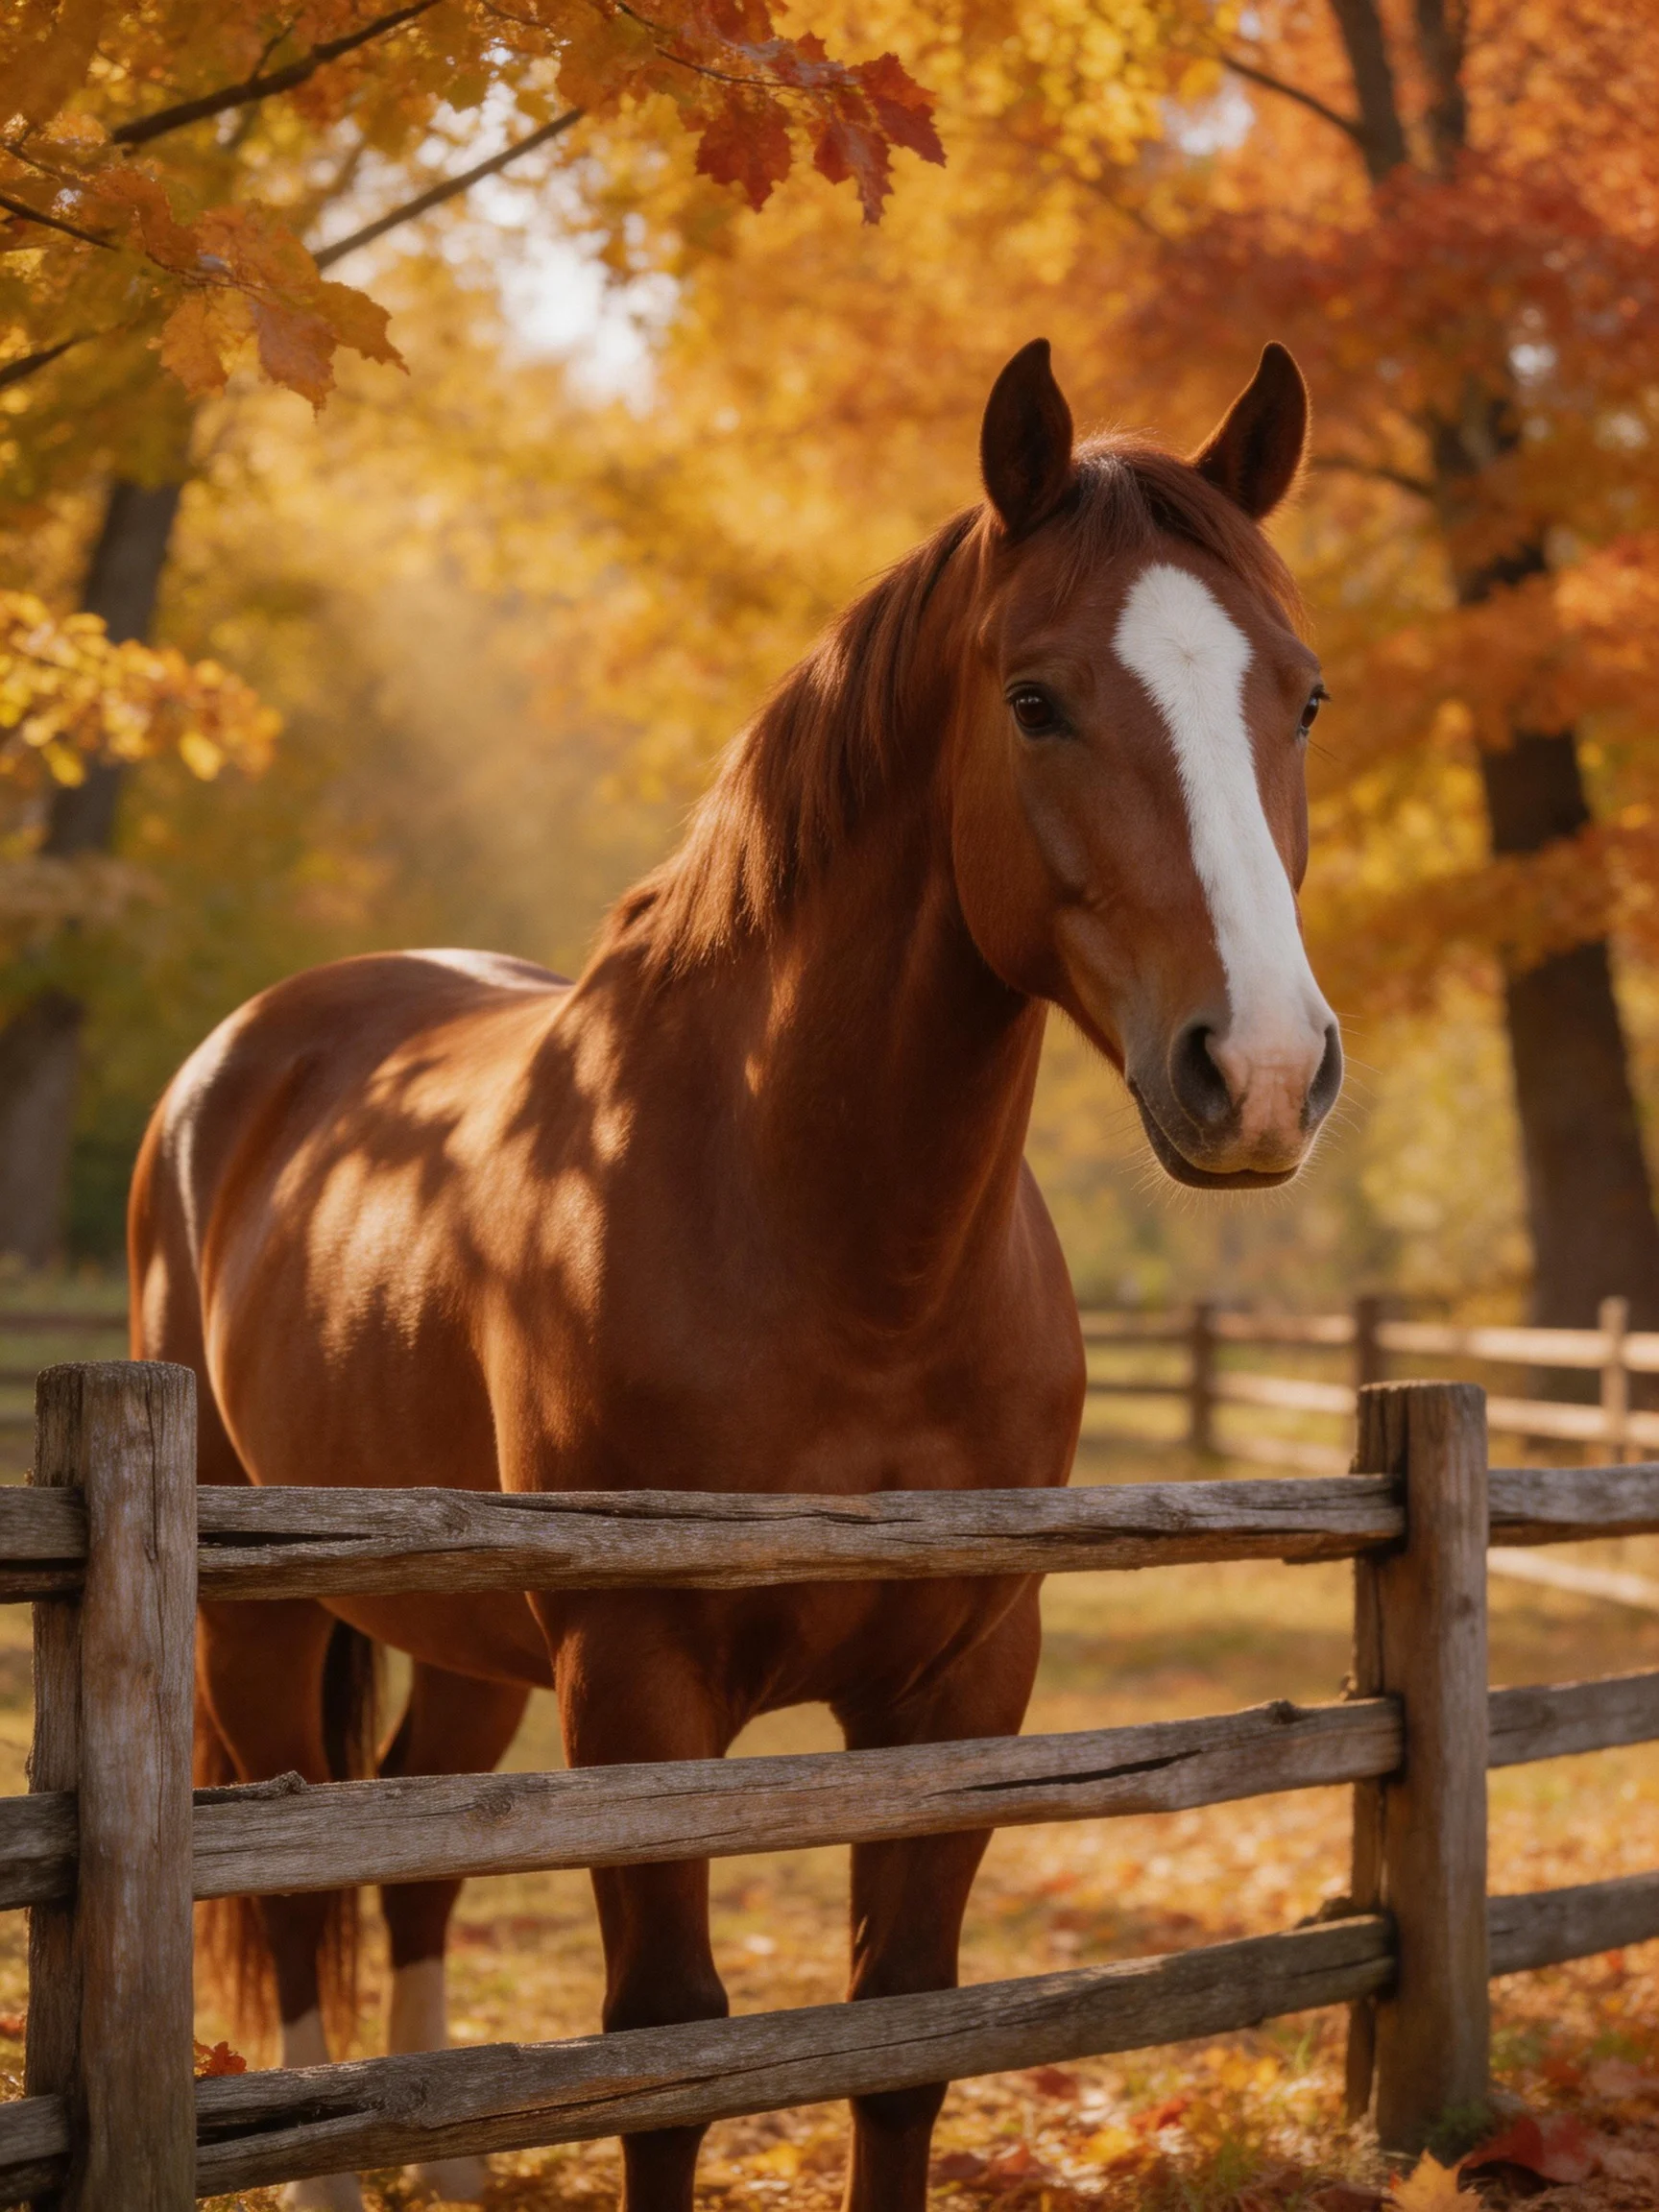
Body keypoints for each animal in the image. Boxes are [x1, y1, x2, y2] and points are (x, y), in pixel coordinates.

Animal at [129, 335, 1340, 2212]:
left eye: (1300, 697)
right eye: (1036, 700)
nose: (1264, 1071)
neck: (834, 1247)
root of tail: (237, 1060)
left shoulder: (957, 1682)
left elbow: (901, 2032)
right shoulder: (639, 1688)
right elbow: (668, 2052)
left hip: (465, 1647)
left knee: (414, 1853)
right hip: (256, 1635)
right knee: (305, 1875)